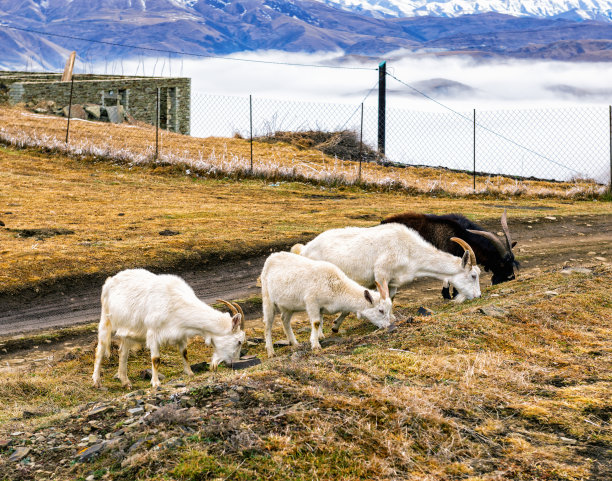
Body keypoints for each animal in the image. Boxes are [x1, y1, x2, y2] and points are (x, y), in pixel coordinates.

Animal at [91, 268, 244, 388]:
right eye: (239, 341)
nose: (233, 363)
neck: (176, 302)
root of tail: (110, 280)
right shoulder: (153, 333)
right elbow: (156, 359)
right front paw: (155, 383)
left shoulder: (180, 334)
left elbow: (184, 353)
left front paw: (190, 373)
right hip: (106, 320)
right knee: (100, 349)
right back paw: (97, 381)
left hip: (128, 330)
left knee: (123, 352)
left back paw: (125, 382)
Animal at [260, 251, 394, 356]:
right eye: (381, 310)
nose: (388, 326)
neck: (336, 286)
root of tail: (271, 257)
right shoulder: (311, 302)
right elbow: (316, 322)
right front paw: (315, 345)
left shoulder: (321, 307)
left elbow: (321, 320)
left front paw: (321, 336)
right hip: (267, 297)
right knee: (267, 324)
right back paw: (270, 351)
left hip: (288, 305)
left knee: (284, 319)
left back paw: (295, 343)